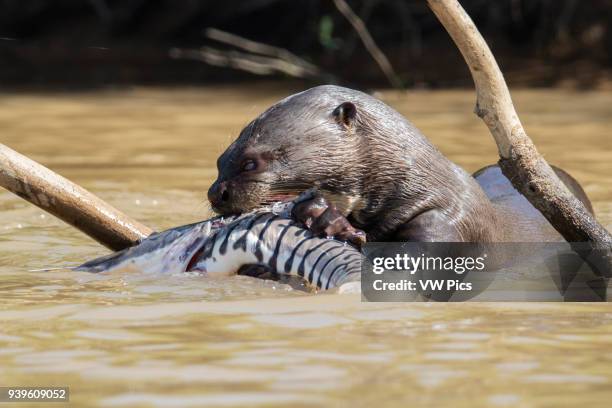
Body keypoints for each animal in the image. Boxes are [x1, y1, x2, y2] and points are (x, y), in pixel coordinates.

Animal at [207, 85, 592, 242]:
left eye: (250, 163)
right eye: (220, 160)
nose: (215, 194)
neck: (419, 187)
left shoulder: (443, 228)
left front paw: (326, 218)